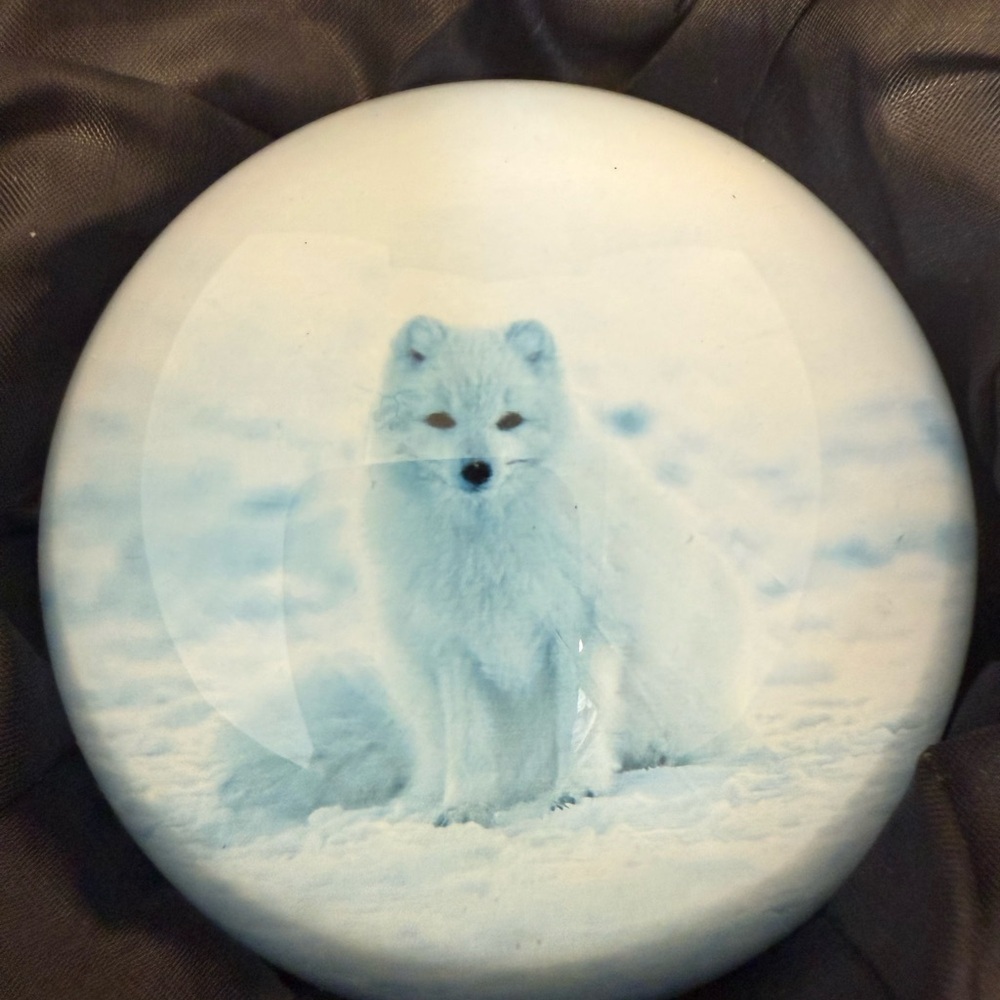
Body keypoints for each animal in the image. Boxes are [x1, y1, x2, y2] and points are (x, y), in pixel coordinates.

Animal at [363, 315, 749, 826]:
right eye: (441, 420)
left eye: (510, 420)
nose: (477, 468)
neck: (489, 542)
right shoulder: (456, 647)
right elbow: (469, 742)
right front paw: (464, 807)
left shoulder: (577, 626)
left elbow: (577, 721)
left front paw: (575, 789)